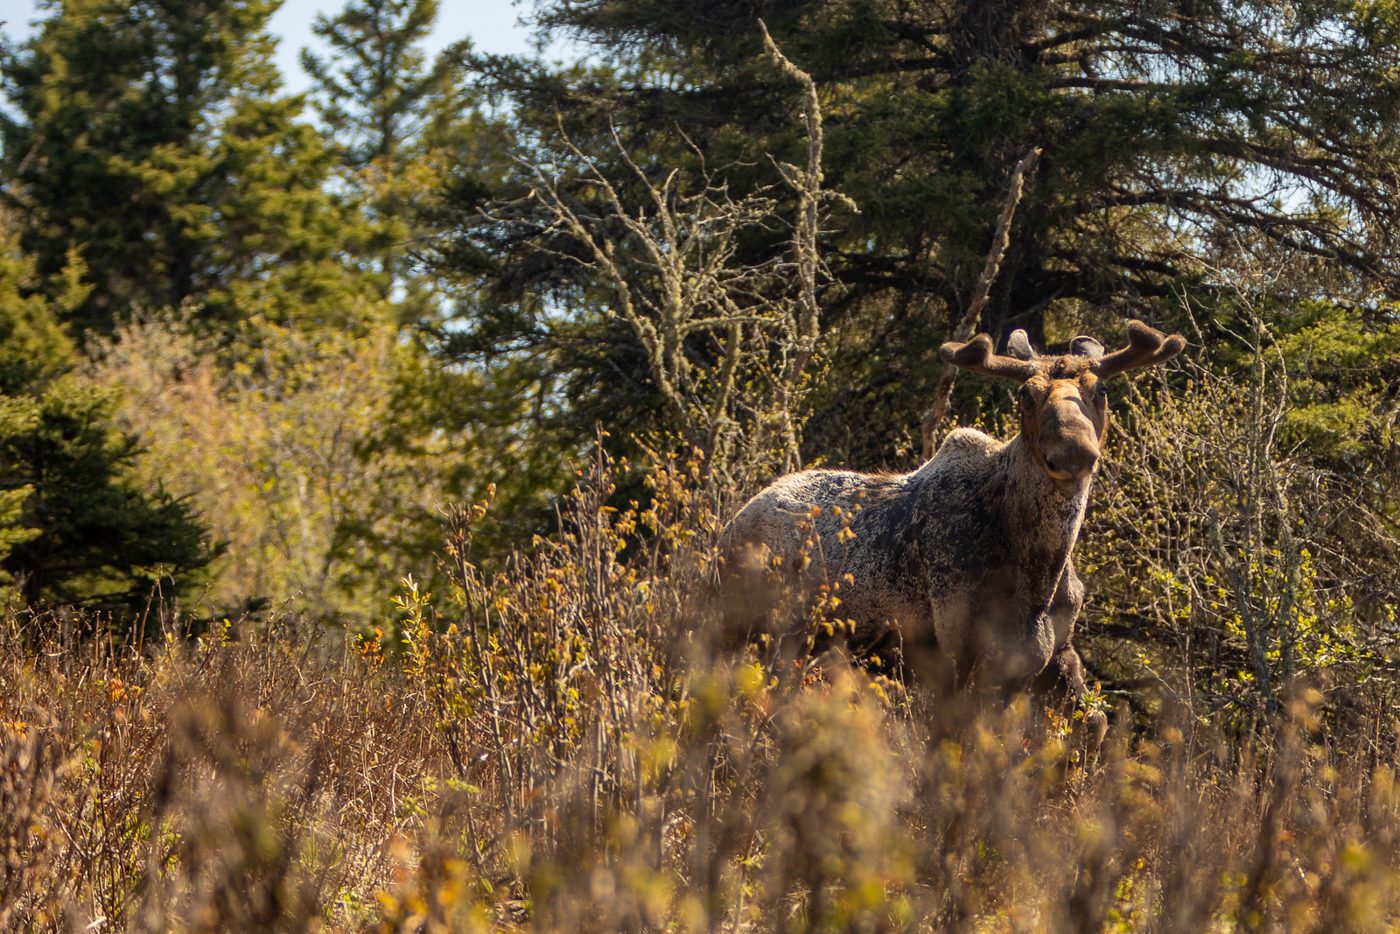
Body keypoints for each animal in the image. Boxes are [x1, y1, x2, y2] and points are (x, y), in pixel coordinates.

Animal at [722, 320, 1185, 737]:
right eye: (1025, 393)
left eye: (1101, 390)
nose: (1073, 451)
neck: (1039, 570)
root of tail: (731, 524)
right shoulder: (956, 653)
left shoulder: (1055, 653)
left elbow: (1096, 724)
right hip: (748, 626)